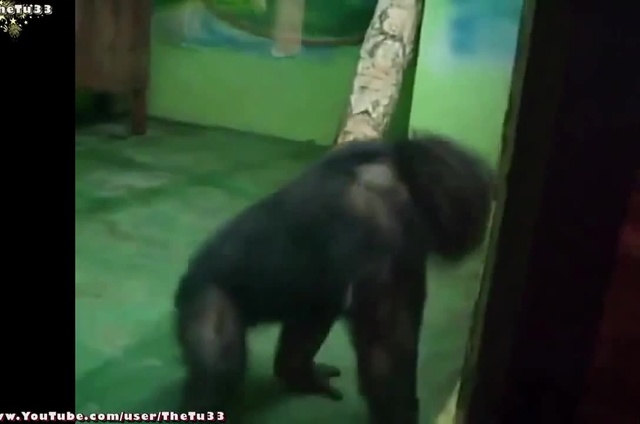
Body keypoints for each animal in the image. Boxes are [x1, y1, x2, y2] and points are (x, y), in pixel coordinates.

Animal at [173, 133, 494, 423]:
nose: (476, 235)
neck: (398, 172)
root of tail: (188, 278)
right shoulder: (383, 225)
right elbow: (386, 344)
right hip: (207, 296)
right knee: (218, 369)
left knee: (317, 312)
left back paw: (300, 375)